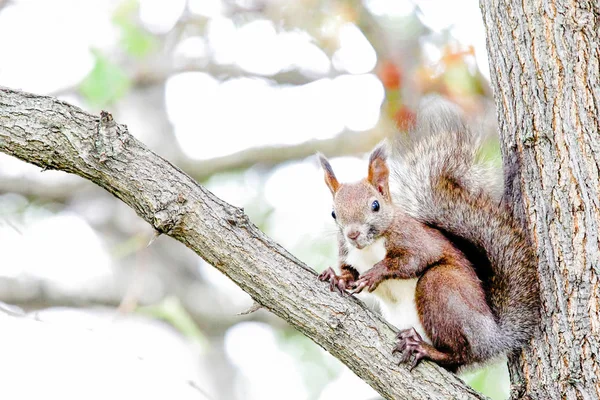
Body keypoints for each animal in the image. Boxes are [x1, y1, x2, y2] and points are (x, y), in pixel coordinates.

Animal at [318, 104, 540, 372]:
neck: (369, 248)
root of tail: (493, 337)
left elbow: (413, 259)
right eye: (333, 213)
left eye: (375, 205)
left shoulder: (413, 238)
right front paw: (337, 277)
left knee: (461, 353)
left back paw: (424, 348)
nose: (352, 234)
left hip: (441, 287)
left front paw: (376, 273)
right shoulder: (348, 254)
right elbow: (349, 272)